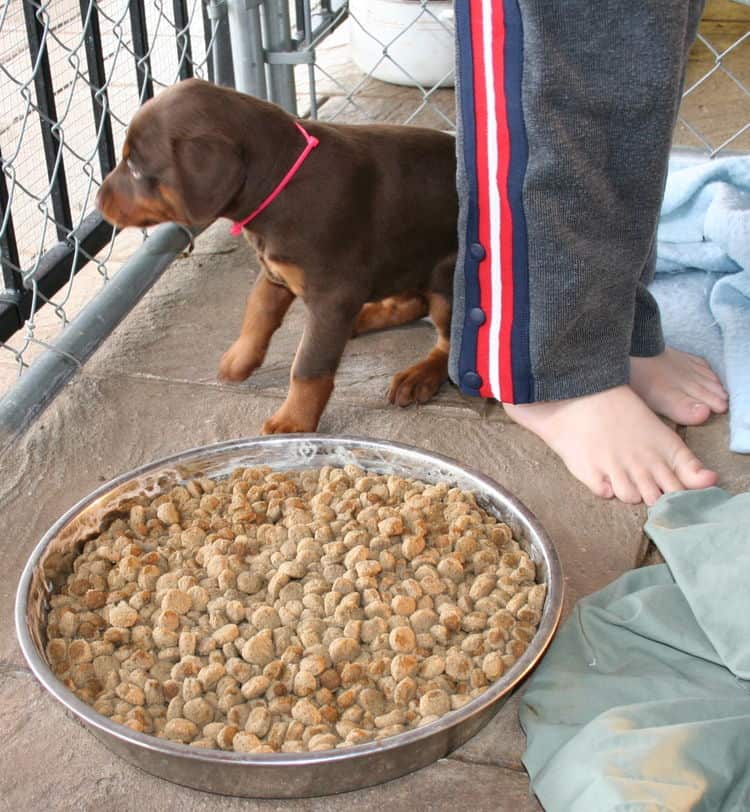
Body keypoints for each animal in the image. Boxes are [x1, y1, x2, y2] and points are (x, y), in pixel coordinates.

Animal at [97, 79, 462, 434]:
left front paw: (293, 422)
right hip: (401, 258)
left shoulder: (332, 294)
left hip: (446, 276)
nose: (99, 201)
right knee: (413, 302)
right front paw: (239, 360)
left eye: (134, 168)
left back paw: (419, 374)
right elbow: (257, 311)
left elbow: (308, 366)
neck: (278, 184)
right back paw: (361, 320)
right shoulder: (276, 271)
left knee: (449, 341)